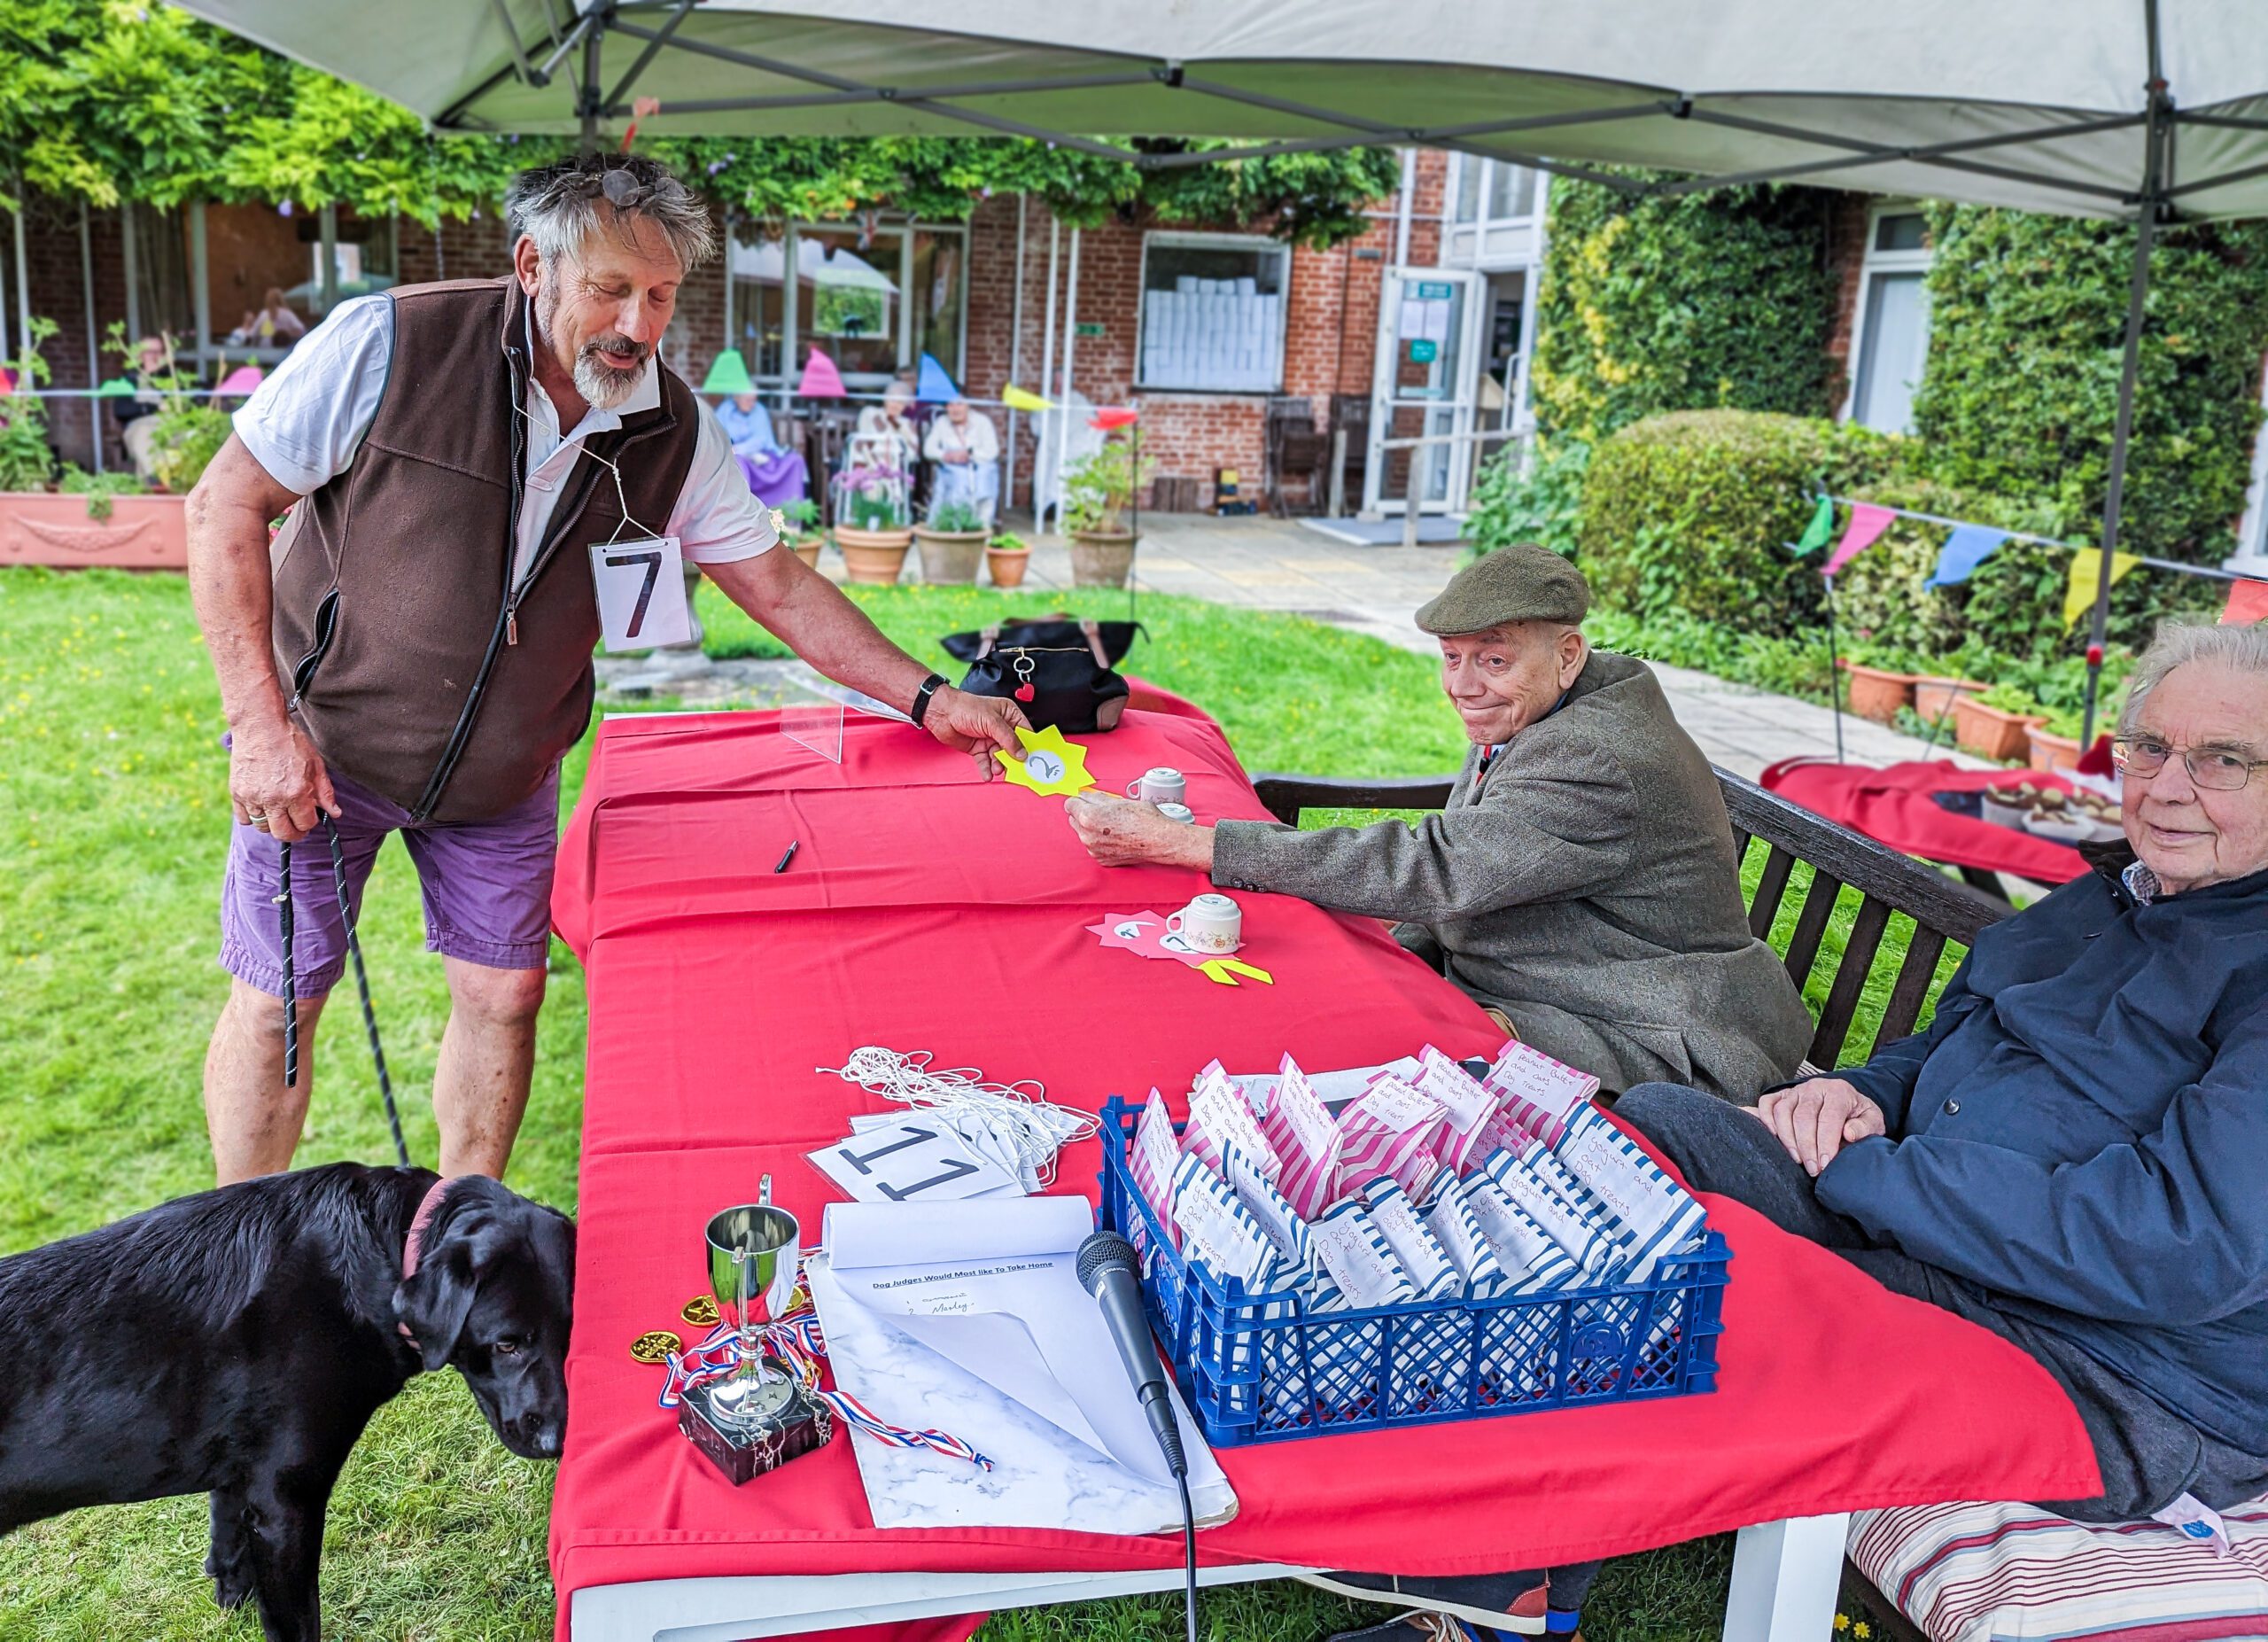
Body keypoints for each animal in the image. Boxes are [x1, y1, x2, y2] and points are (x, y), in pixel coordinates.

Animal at [0, 1161, 576, 1632]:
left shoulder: (243, 1475)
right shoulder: (286, 1500)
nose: (559, 1442)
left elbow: (227, 1542)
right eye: (506, 1343)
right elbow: (297, 1620)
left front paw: (230, 1599)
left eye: (571, 1334)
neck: (383, 1251)